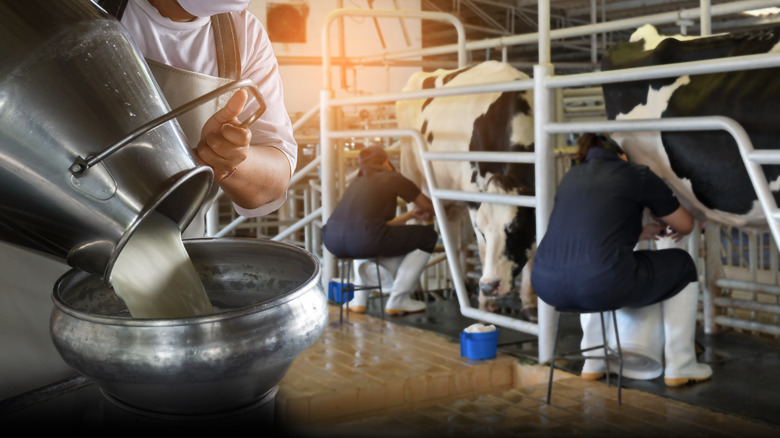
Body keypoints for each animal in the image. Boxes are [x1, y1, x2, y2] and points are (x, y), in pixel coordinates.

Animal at [396, 60, 536, 318]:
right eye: (482, 231)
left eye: (514, 228)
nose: (489, 285)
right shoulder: (474, 200)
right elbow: (481, 249)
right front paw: (486, 303)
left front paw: (530, 303)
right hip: (411, 174)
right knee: (417, 223)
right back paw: (415, 290)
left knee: (452, 235)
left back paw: (460, 283)